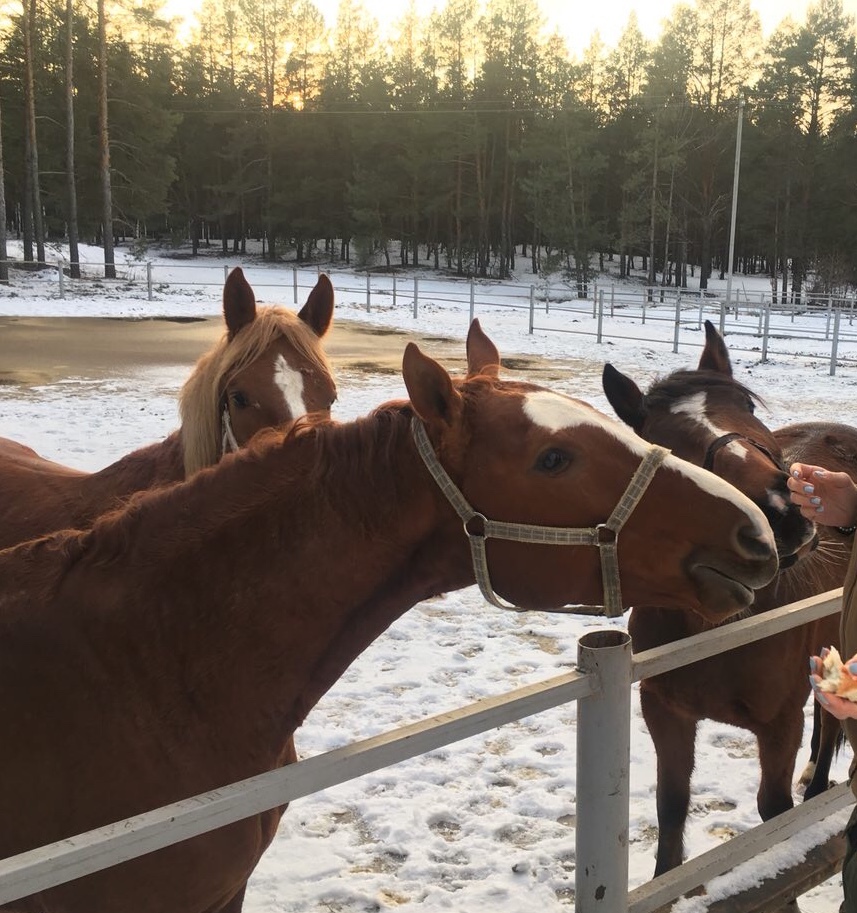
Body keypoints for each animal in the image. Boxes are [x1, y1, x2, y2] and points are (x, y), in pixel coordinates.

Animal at [600, 318, 848, 876]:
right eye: (665, 446)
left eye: (748, 409)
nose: (781, 511)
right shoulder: (665, 715)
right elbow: (671, 810)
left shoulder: (780, 726)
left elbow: (773, 812)